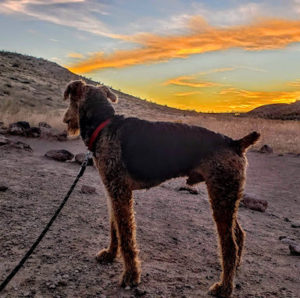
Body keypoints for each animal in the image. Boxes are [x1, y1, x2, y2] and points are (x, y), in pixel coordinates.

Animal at [62, 80, 258, 296]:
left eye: (71, 99)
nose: (65, 119)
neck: (103, 125)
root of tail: (236, 143)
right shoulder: (111, 191)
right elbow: (115, 230)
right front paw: (110, 254)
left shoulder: (120, 192)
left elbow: (127, 237)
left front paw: (131, 276)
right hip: (227, 197)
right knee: (239, 234)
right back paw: (234, 270)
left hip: (221, 195)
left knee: (229, 245)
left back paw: (224, 287)